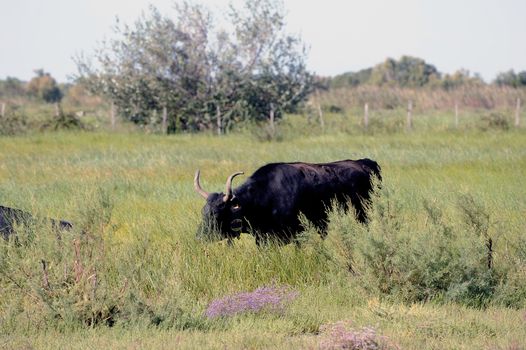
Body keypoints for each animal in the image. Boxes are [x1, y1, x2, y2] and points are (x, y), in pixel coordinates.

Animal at [196, 158, 382, 243]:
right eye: (203, 212)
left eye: (217, 214)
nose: (199, 236)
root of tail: (363, 163)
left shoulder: (297, 233)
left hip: (362, 215)